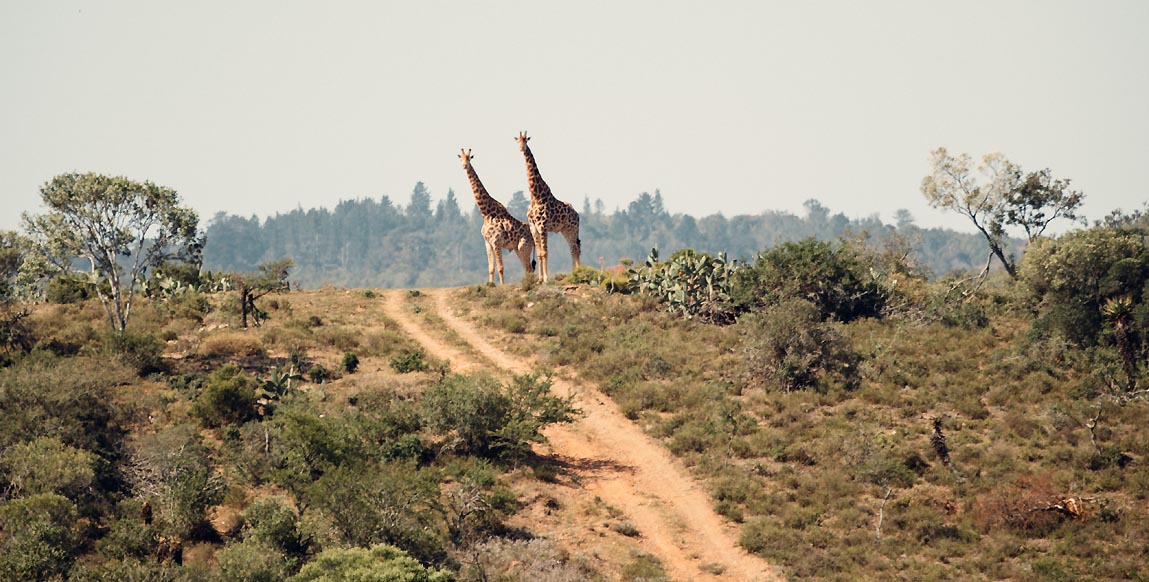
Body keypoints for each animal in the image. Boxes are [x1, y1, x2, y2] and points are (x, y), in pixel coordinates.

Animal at [457, 148, 533, 284]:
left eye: (469, 158)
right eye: (461, 158)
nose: (464, 166)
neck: (486, 213)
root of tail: (535, 236)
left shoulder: (496, 242)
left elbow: (501, 268)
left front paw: (502, 285)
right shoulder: (488, 243)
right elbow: (491, 268)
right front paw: (491, 284)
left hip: (523, 247)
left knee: (529, 268)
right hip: (517, 249)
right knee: (528, 269)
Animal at [514, 134, 579, 284]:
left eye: (526, 140)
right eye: (517, 141)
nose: (521, 148)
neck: (535, 196)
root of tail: (578, 215)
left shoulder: (543, 226)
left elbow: (544, 252)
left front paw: (546, 278)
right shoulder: (534, 227)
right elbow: (539, 253)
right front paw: (539, 279)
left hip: (572, 229)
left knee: (575, 249)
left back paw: (577, 273)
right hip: (565, 230)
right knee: (574, 249)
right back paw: (575, 273)